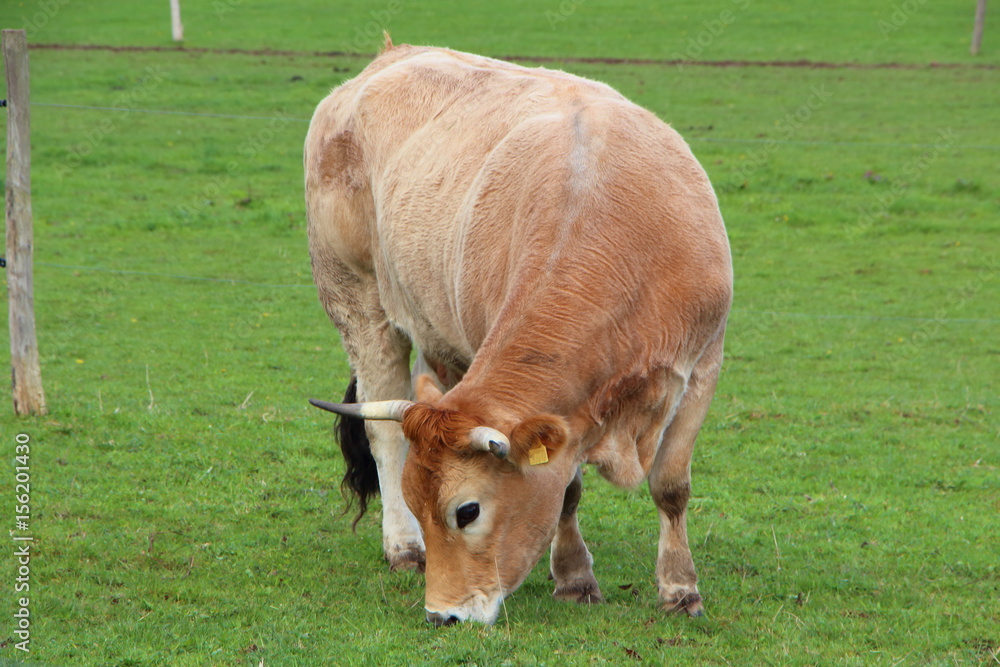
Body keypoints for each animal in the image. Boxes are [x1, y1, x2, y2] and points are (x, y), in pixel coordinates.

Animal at [304, 36, 732, 626]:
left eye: (467, 511)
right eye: (421, 503)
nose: (442, 615)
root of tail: (390, 57)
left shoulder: (702, 367)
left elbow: (671, 486)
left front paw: (679, 589)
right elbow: (566, 491)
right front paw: (574, 577)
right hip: (358, 302)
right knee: (384, 432)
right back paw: (403, 547)